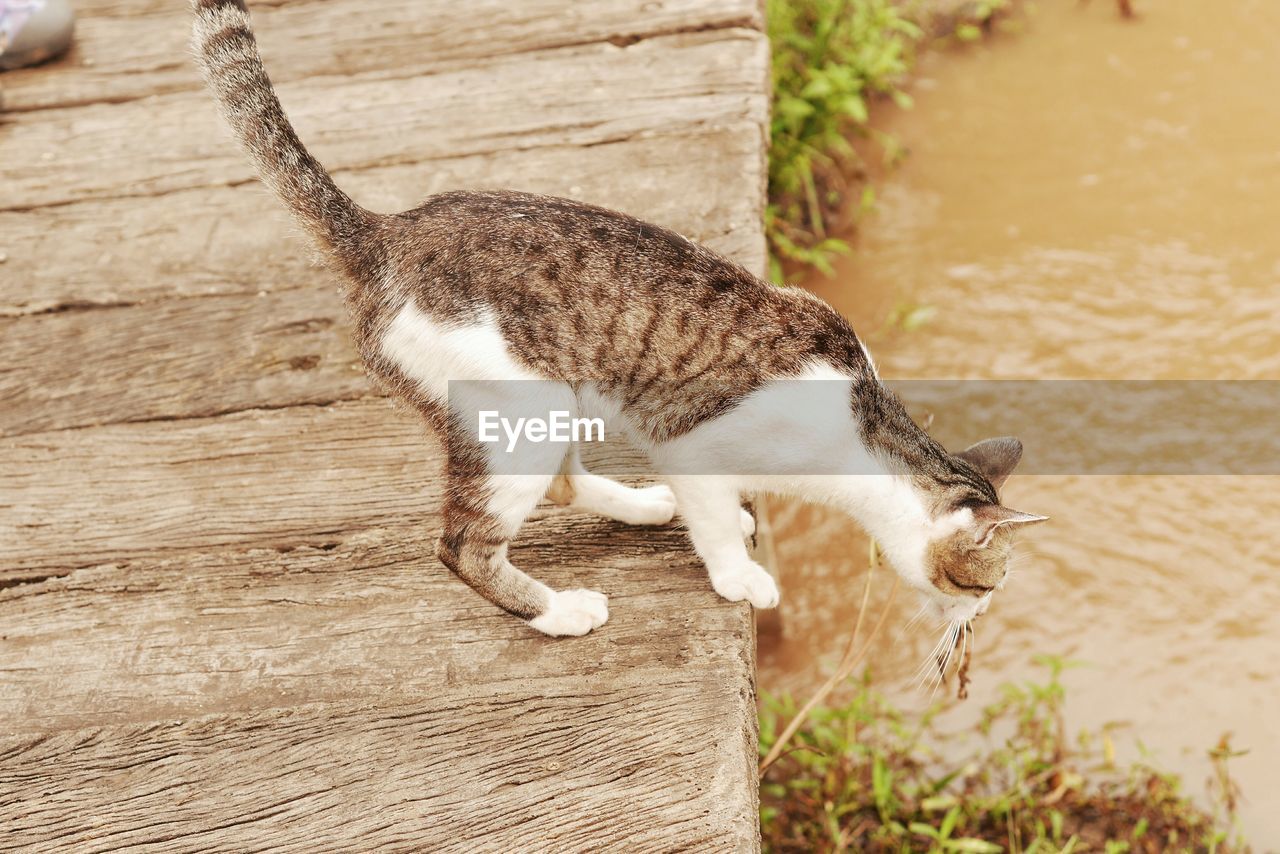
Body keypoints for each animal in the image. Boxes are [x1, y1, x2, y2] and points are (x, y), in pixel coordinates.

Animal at [192, 0, 1049, 635]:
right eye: (985, 585)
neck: (855, 439)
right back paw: (559, 612)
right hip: (518, 413)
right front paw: (739, 577)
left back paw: (642, 506)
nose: (976, 623)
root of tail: (385, 232)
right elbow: (712, 518)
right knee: (463, 546)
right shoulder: (692, 444)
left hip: (547, 407)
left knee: (565, 485)